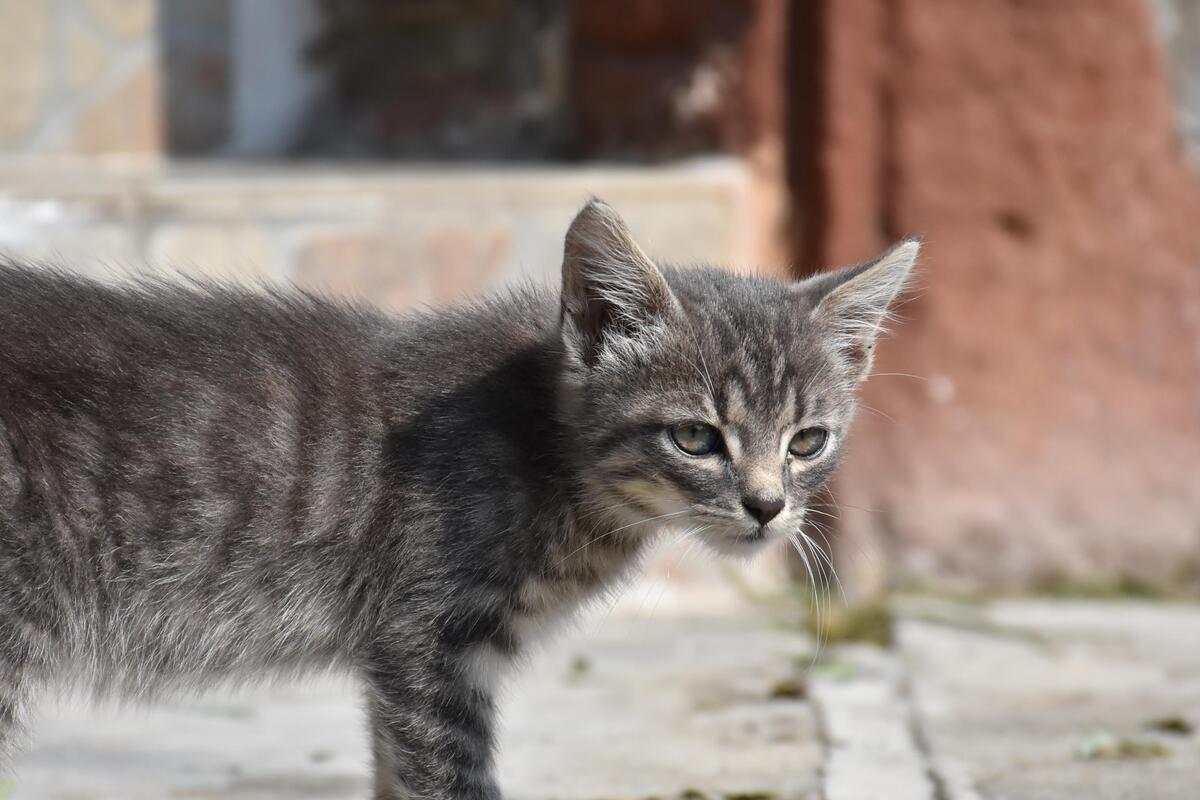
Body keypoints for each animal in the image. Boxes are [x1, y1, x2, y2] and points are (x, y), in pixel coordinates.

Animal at [0, 199, 916, 796]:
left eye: (807, 442)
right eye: (695, 437)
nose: (766, 507)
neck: (549, 458)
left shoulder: (403, 664)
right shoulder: (425, 645)